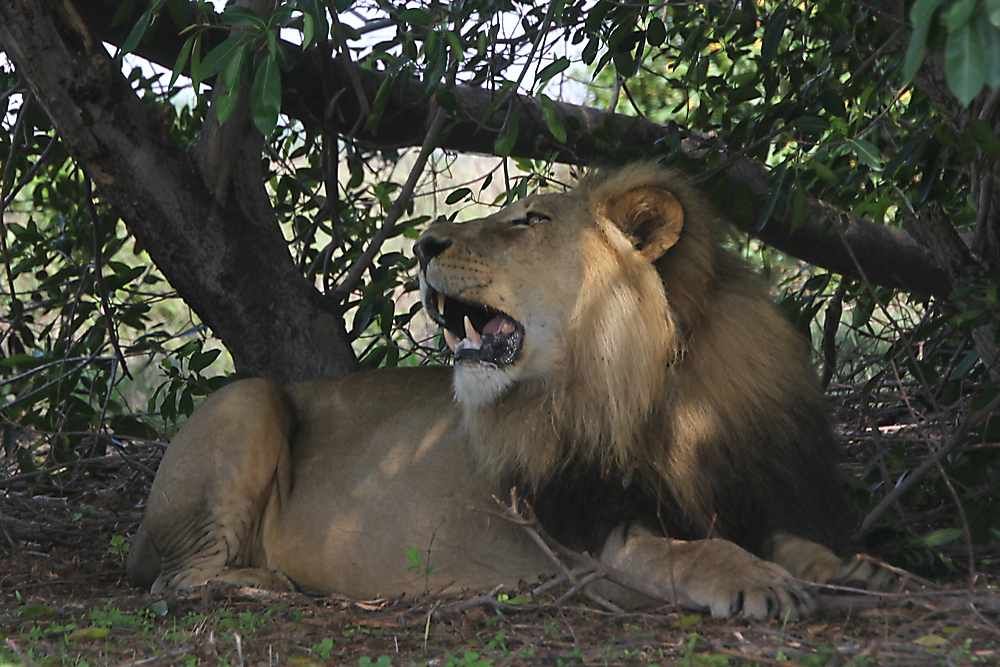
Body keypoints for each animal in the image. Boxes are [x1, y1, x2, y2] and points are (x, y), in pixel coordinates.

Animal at [127, 163, 900, 620]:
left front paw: (860, 569)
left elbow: (799, 541)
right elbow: (691, 552)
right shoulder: (592, 540)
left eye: (529, 219)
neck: (663, 392)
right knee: (177, 579)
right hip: (249, 399)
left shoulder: (753, 486)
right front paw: (757, 580)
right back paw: (267, 581)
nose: (423, 245)